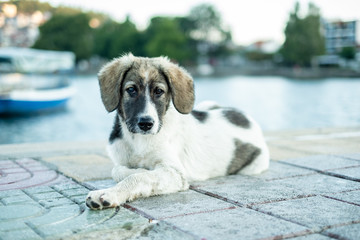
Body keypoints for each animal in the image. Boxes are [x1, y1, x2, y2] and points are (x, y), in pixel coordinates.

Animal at [86, 53, 268, 209]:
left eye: (159, 91)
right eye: (131, 89)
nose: (146, 123)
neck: (139, 141)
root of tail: (246, 117)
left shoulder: (175, 173)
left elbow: (140, 176)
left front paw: (109, 193)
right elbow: (117, 170)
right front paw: (137, 169)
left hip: (254, 165)